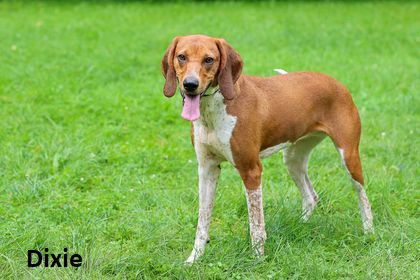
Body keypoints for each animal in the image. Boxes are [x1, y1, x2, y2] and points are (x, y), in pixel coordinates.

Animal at [161, 35, 374, 264]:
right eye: (181, 57)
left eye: (209, 59)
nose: (190, 84)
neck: (214, 108)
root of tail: (336, 82)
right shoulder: (207, 169)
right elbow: (202, 221)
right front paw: (194, 259)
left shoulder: (251, 170)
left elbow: (256, 224)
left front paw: (257, 259)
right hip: (293, 159)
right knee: (311, 196)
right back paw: (300, 226)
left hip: (349, 157)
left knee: (363, 196)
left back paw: (369, 233)